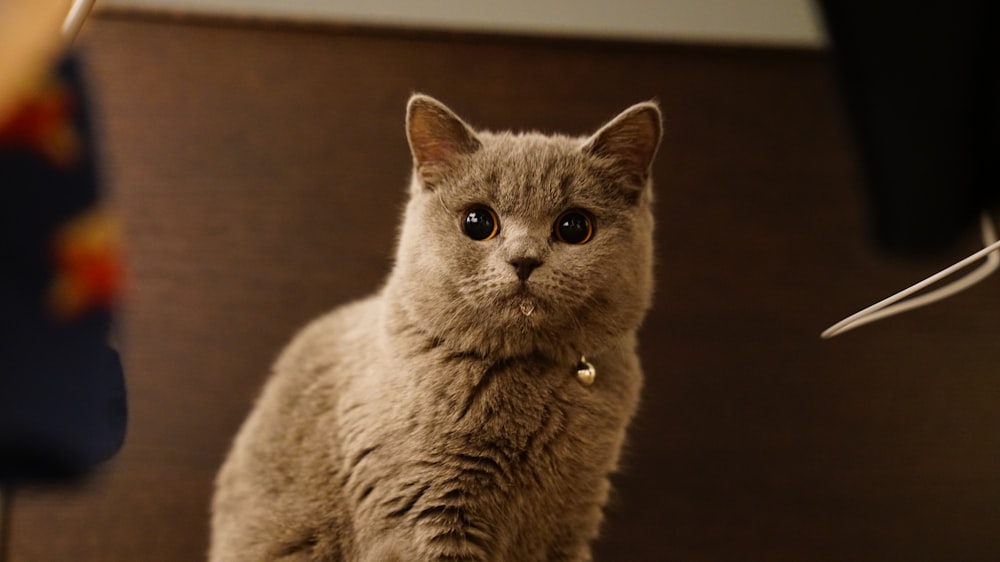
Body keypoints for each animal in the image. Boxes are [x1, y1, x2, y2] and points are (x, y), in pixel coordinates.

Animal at [211, 94, 664, 556]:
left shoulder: (570, 521)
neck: (529, 373)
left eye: (574, 227)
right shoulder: (429, 512)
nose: (524, 260)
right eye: (478, 222)